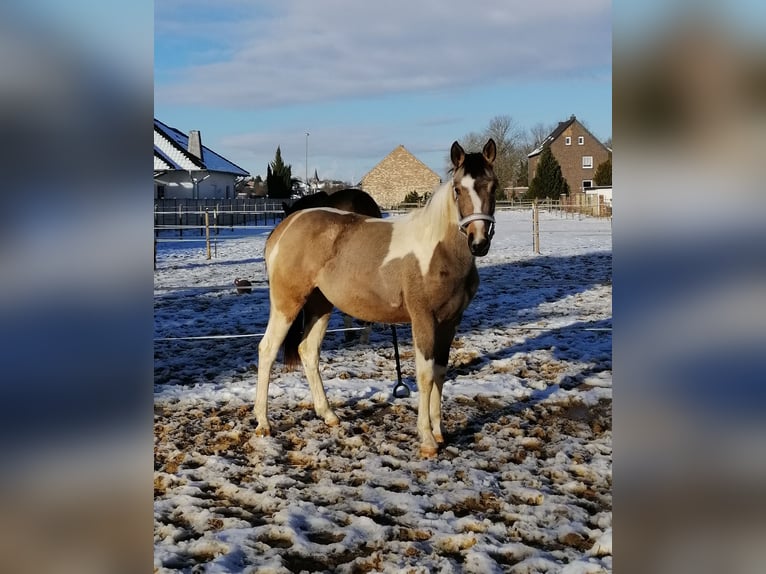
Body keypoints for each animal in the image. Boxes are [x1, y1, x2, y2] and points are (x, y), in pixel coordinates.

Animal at [255, 137, 500, 456]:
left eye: (493, 186)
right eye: (458, 189)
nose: (478, 242)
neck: (438, 251)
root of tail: (285, 228)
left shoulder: (450, 322)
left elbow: (440, 372)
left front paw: (440, 432)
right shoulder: (423, 320)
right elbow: (425, 375)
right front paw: (427, 440)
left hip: (321, 305)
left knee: (308, 351)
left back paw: (329, 414)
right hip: (287, 303)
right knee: (267, 349)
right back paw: (263, 423)